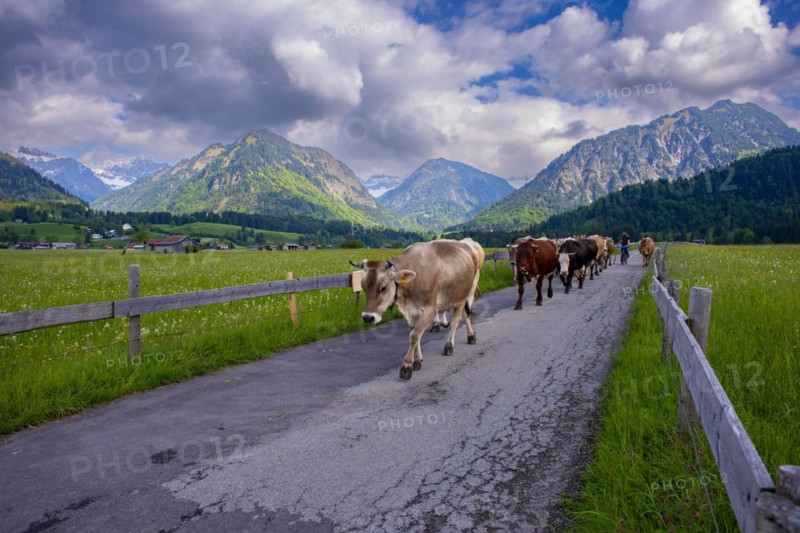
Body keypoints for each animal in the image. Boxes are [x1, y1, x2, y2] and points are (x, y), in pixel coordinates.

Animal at [354, 239, 481, 380]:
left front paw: (407, 366)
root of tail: (465, 245)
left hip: (464, 295)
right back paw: (471, 336)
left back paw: (449, 346)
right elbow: (415, 334)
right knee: (465, 315)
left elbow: (414, 335)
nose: (367, 317)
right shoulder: (410, 312)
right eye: (363, 287)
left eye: (383, 287)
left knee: (456, 321)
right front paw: (417, 360)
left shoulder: (431, 310)